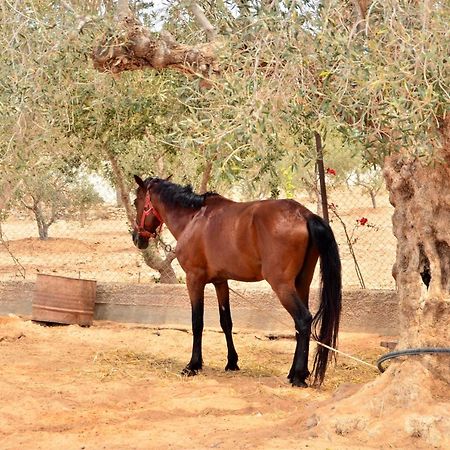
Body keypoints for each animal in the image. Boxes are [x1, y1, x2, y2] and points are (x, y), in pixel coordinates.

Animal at [133, 176, 342, 386]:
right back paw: (298, 372)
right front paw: (232, 362)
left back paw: (297, 376)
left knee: (303, 319)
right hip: (301, 283)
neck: (193, 218)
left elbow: (197, 322)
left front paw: (193, 365)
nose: (136, 238)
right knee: (301, 324)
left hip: (282, 286)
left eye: (136, 202)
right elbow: (226, 322)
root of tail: (304, 214)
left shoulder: (194, 280)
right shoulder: (221, 282)